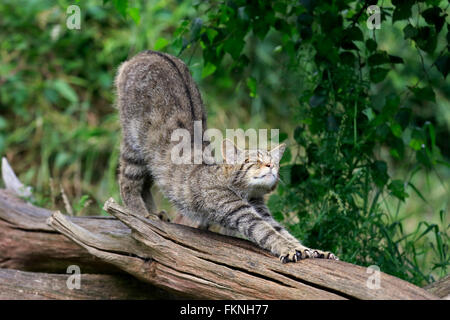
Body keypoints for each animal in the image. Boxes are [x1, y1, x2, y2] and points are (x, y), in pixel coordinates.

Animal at [114, 50, 336, 262]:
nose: (270, 166)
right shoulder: (239, 211)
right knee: (127, 183)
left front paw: (311, 249)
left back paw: (154, 212)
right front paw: (289, 249)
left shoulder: (261, 210)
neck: (247, 193)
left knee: (145, 184)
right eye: (254, 161)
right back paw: (142, 213)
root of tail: (147, 53)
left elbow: (282, 231)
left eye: (274, 162)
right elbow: (268, 233)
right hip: (134, 145)